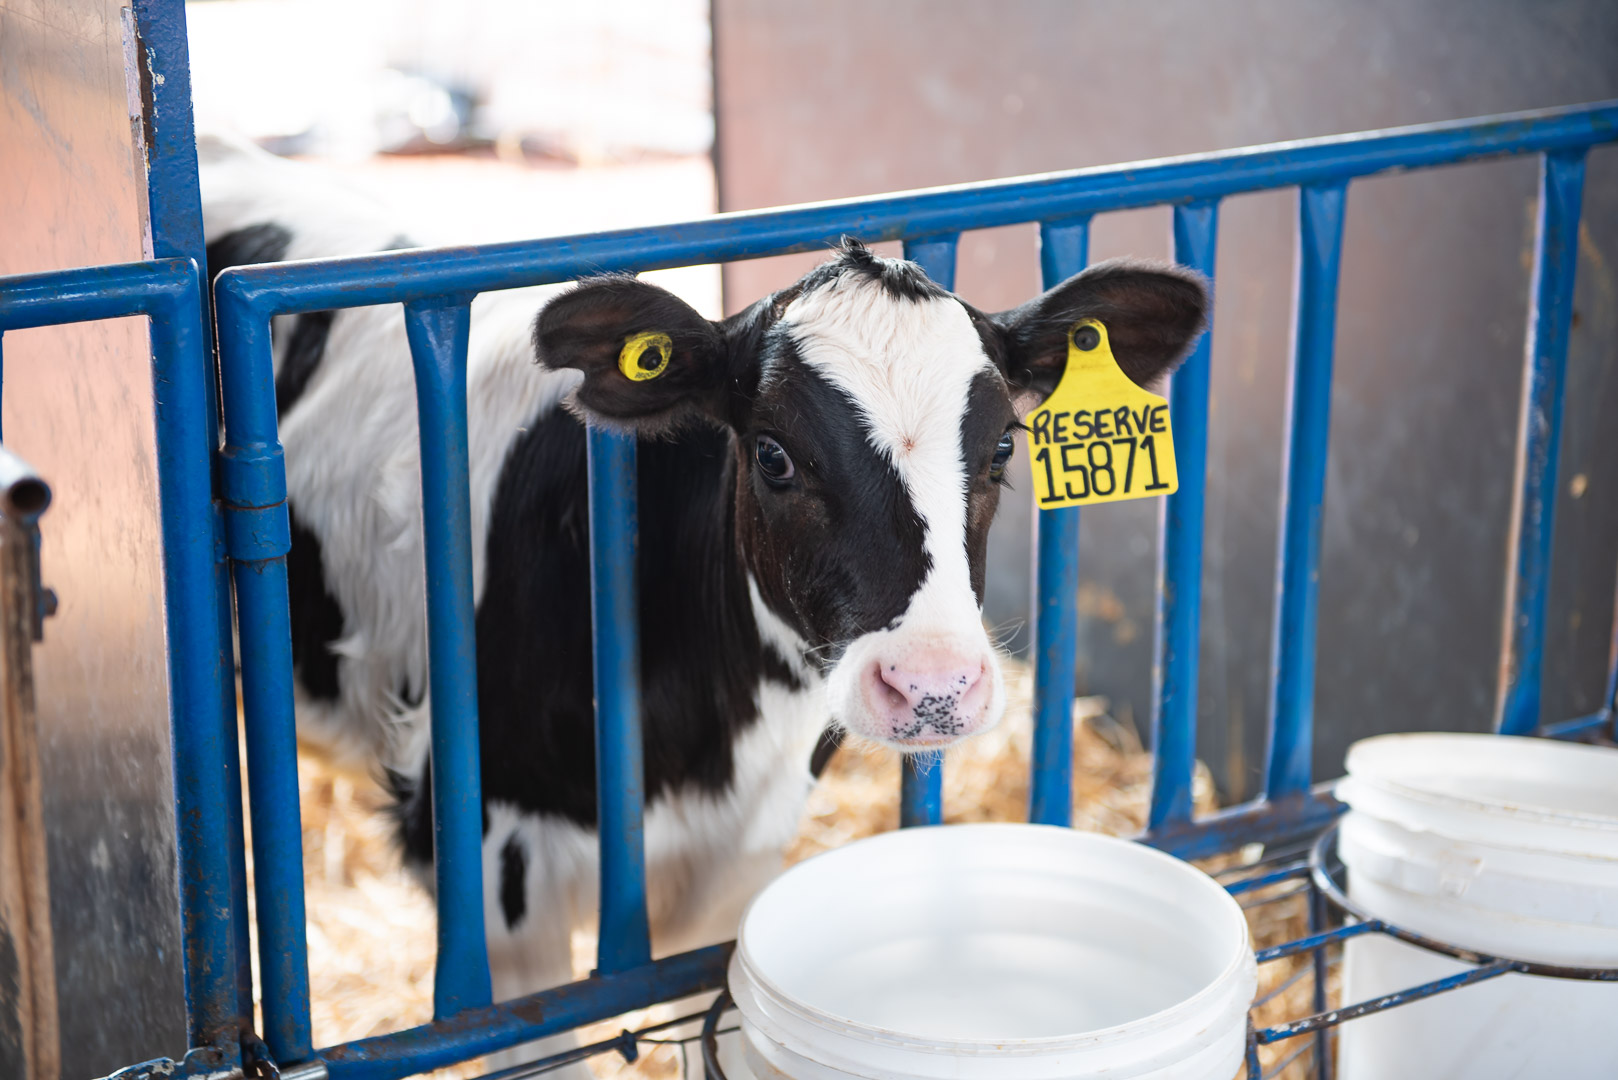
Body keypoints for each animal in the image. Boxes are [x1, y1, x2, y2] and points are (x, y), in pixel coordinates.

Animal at [199, 139, 1203, 1049]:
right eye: (774, 454)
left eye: (1000, 448)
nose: (933, 688)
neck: (702, 743)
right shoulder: (494, 885)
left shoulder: (739, 861)